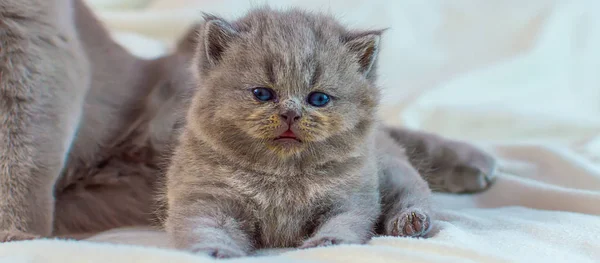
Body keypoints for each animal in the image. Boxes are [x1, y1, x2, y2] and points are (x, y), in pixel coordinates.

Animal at [162, 7, 494, 258]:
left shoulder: (353, 197)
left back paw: (409, 222)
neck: (282, 177)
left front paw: (326, 244)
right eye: (262, 93)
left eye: (319, 99)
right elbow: (204, 227)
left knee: (415, 192)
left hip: (390, 169)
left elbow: (345, 222)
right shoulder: (204, 197)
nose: (291, 112)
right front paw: (215, 252)